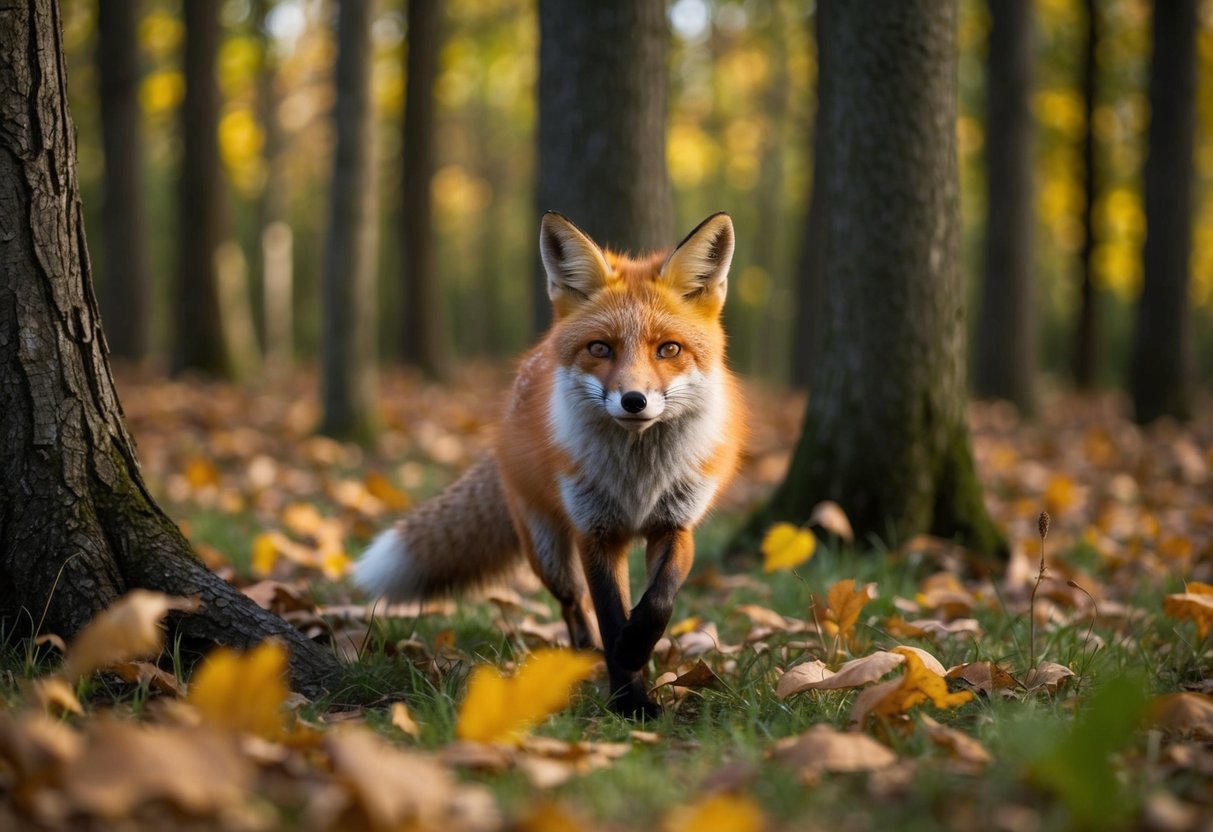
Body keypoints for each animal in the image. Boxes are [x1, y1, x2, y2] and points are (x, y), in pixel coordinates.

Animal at [355, 211, 745, 717]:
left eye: (669, 349)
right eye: (600, 349)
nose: (634, 400)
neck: (637, 481)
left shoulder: (675, 523)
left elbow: (658, 602)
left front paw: (638, 652)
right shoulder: (595, 532)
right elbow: (610, 616)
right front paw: (629, 696)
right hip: (547, 552)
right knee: (573, 605)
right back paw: (584, 658)